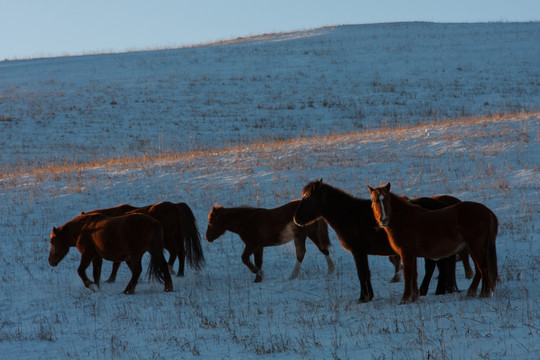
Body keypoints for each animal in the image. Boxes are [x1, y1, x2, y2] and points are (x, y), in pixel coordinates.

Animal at [206, 201, 336, 282]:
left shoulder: (252, 245)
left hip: (300, 236)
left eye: (212, 221)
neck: (245, 221)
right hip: (311, 234)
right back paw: (330, 271)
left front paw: (259, 274)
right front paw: (258, 279)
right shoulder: (259, 247)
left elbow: (245, 259)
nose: (207, 237)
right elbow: (258, 262)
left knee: (301, 253)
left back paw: (292, 276)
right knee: (323, 249)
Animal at [368, 183, 498, 304]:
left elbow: (408, 273)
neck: (404, 219)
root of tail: (487, 211)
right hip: (473, 248)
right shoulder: (412, 255)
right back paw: (472, 292)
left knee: (483, 268)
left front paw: (405, 298)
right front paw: (415, 297)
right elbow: (414, 274)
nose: (383, 220)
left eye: (387, 200)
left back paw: (484, 293)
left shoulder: (406, 253)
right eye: (375, 201)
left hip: (475, 247)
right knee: (479, 269)